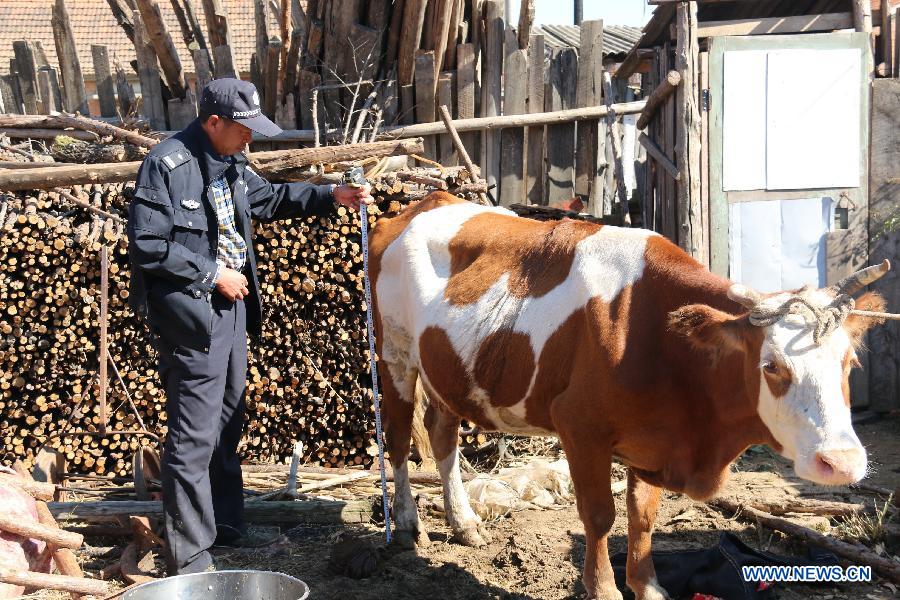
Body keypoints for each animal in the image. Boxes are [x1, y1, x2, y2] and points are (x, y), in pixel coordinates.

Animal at [368, 193, 884, 600]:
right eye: (771, 366)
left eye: (850, 363)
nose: (840, 462)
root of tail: (423, 203)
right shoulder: (579, 426)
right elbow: (600, 516)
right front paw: (604, 589)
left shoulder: (654, 441)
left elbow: (643, 517)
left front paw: (647, 585)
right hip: (394, 354)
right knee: (397, 439)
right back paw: (408, 524)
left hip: (446, 369)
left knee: (441, 434)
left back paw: (465, 522)